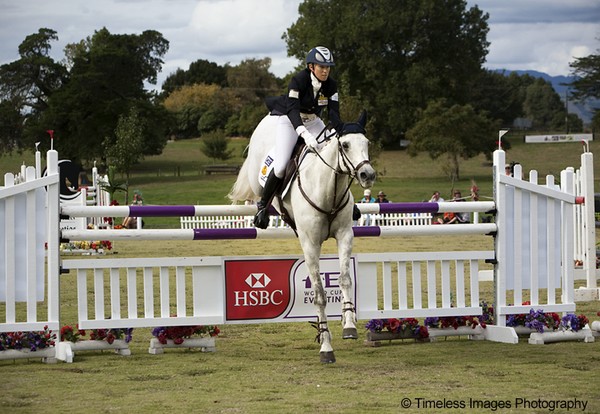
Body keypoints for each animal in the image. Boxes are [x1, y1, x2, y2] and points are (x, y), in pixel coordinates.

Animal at [229, 111, 376, 362]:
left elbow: (345, 278)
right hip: (262, 172)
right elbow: (318, 293)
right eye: (345, 145)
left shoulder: (345, 235)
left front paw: (349, 324)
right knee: (266, 181)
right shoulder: (310, 244)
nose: (368, 175)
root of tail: (270, 116)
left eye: (366, 143)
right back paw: (261, 211)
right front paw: (325, 346)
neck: (328, 189)